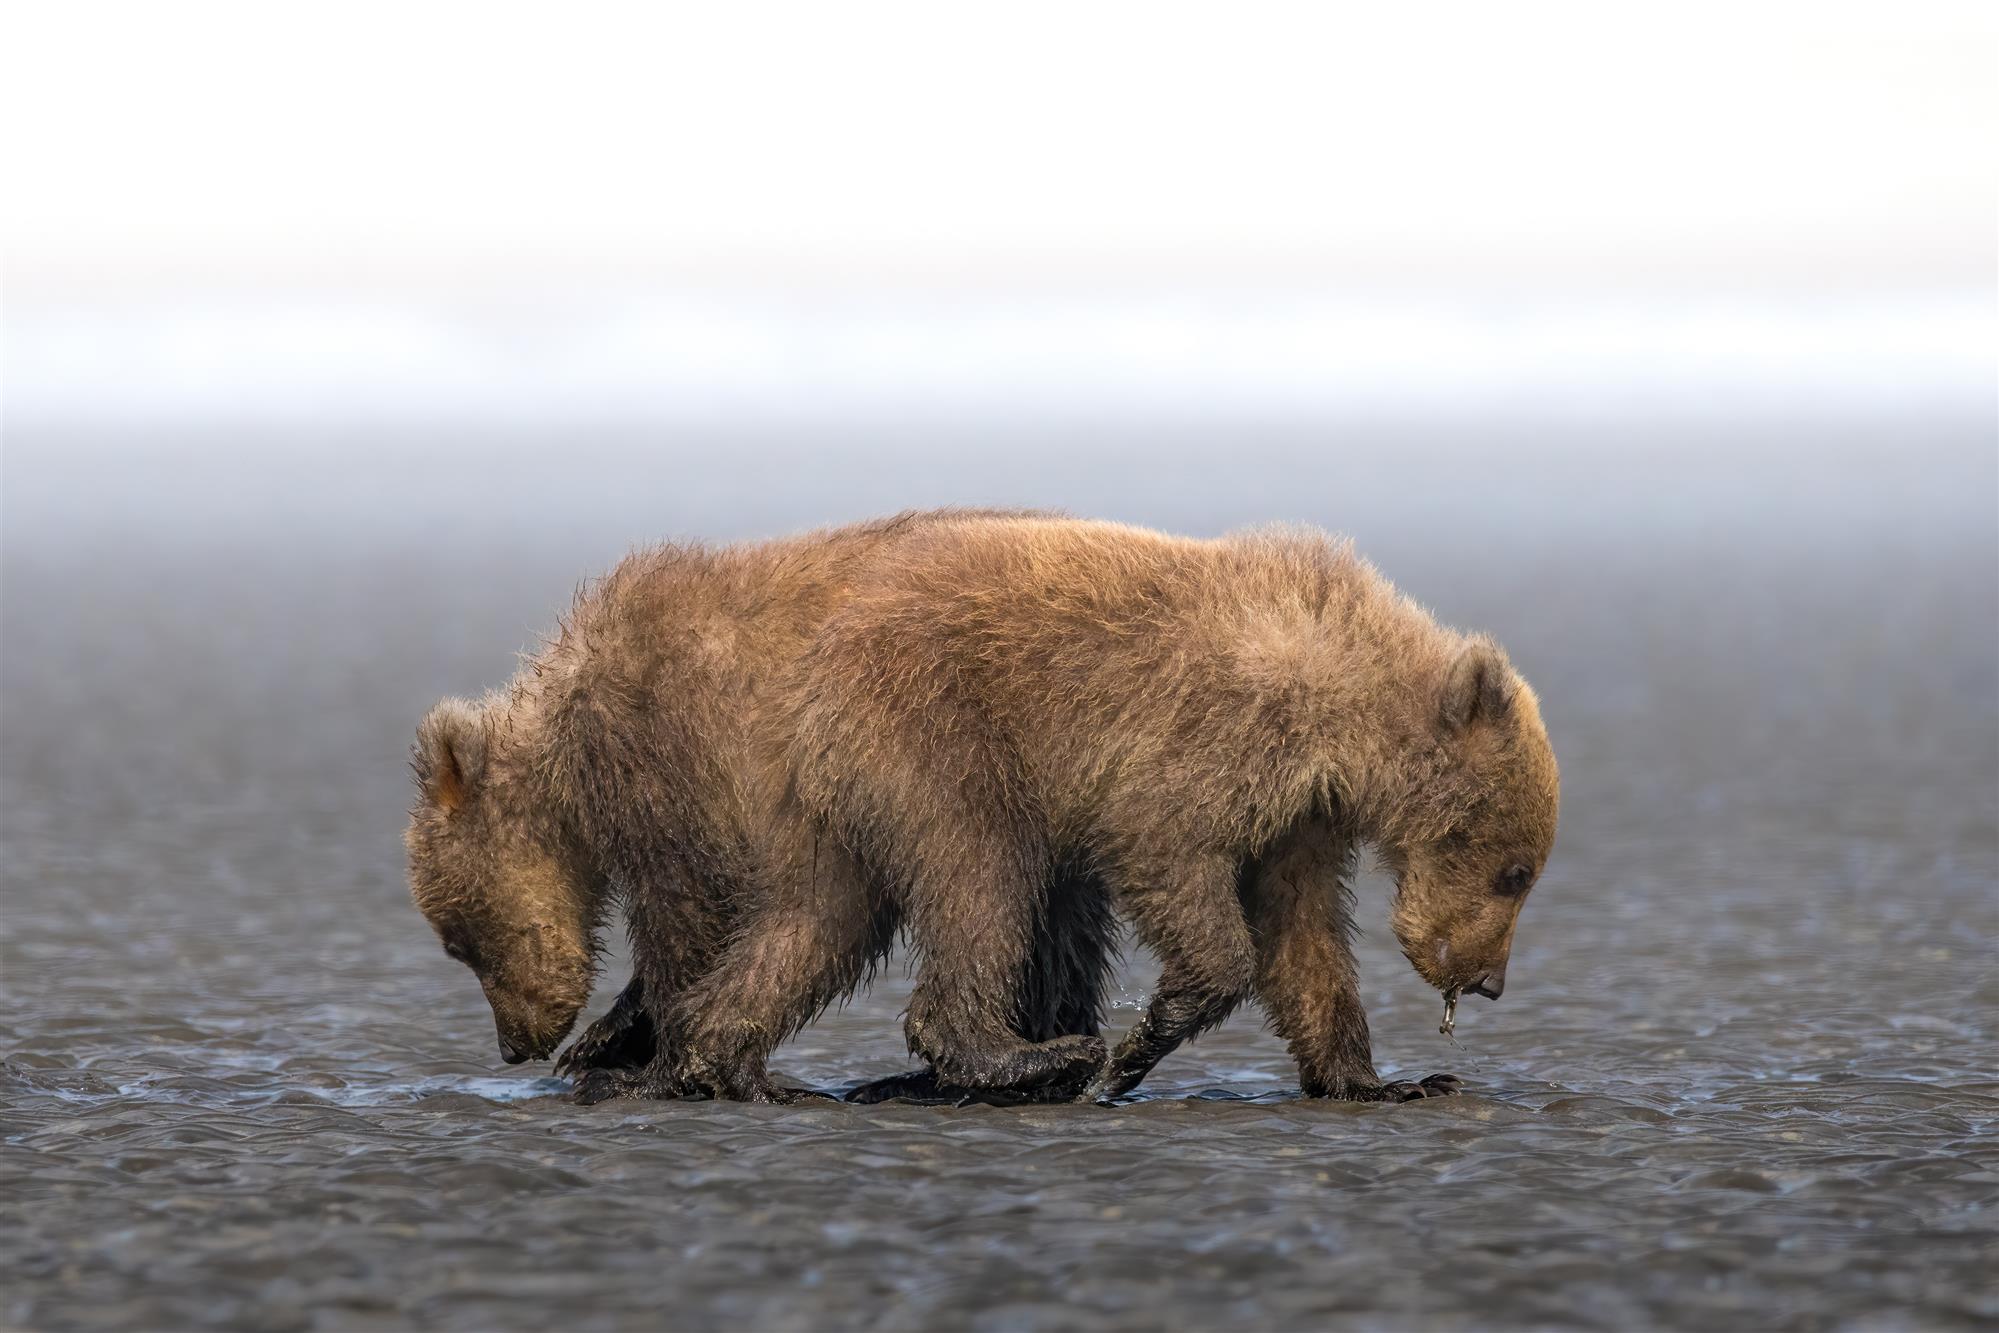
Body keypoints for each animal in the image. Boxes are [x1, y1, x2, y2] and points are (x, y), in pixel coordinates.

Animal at [404, 509, 1118, 1105]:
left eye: (462, 944)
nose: (513, 1045)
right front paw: (607, 1038)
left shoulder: (665, 744)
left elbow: (687, 910)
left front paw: (638, 1060)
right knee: (1061, 920)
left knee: (973, 881)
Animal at [667, 514, 1559, 1102]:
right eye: (1515, 872)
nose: (1489, 981)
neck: (1340, 711)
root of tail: (819, 655)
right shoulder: (1216, 731)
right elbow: (1169, 851)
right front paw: (1136, 1044)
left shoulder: (1299, 819)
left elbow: (1302, 934)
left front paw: (1387, 1080)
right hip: (937, 734)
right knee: (981, 875)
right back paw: (1031, 1053)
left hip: (840, 793)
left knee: (817, 918)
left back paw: (732, 1061)